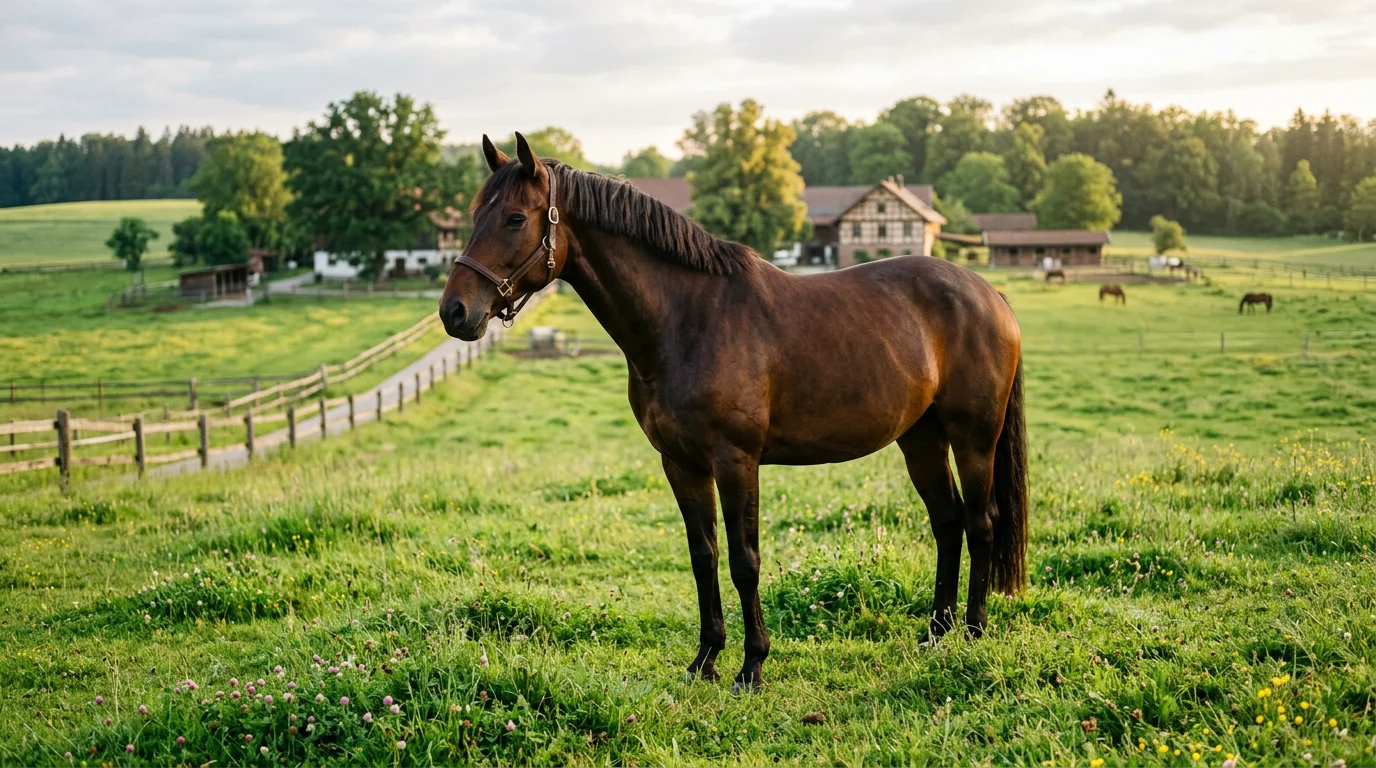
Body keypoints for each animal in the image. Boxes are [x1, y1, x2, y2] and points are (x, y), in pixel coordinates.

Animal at [440, 134, 1028, 692]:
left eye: (515, 218)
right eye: (472, 215)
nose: (455, 312)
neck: (687, 319)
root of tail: (989, 293)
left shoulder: (736, 461)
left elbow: (745, 561)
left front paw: (752, 666)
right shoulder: (680, 464)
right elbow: (703, 556)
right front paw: (704, 660)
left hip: (974, 439)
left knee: (981, 521)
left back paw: (973, 630)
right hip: (921, 438)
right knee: (948, 521)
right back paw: (936, 632)